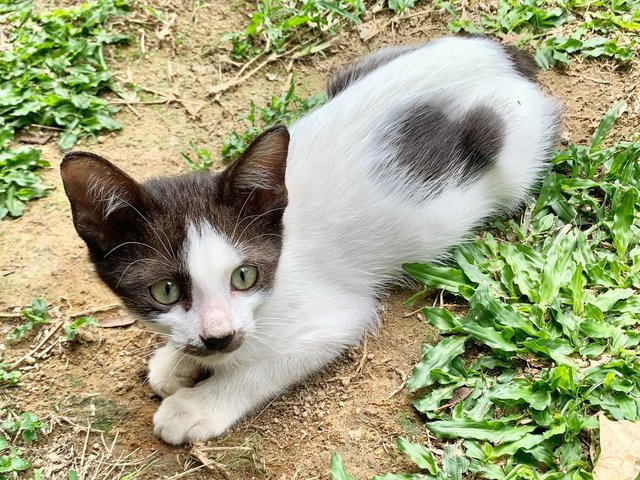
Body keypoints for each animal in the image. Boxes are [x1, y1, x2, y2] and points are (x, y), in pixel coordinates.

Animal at [60, 35, 560, 444]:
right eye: (164, 290)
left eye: (244, 276)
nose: (219, 336)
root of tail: (496, 53)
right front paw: (176, 360)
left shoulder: (338, 317)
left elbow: (266, 364)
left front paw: (198, 405)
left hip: (513, 151)